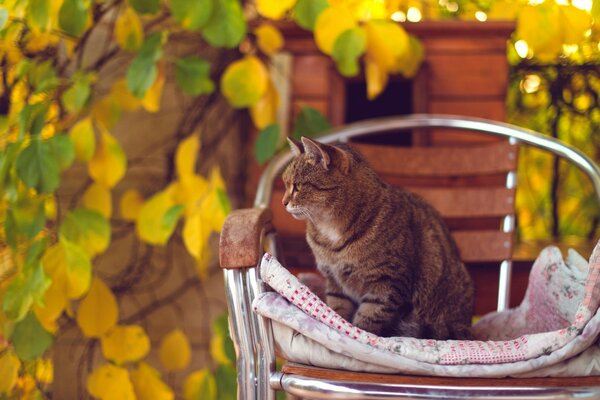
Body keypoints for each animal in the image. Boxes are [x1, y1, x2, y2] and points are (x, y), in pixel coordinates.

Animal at [282, 136, 474, 340]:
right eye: (285, 184)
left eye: (297, 186)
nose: (283, 202)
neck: (331, 231)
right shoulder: (335, 283)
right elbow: (338, 313)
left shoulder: (388, 283)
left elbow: (367, 321)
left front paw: (360, 335)